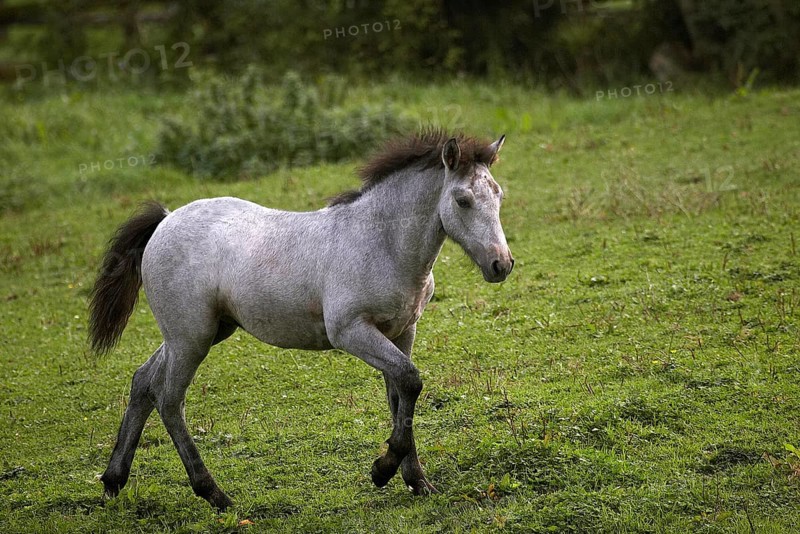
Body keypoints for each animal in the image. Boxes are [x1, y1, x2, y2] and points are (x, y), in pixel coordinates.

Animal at [89, 129, 514, 510]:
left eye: (498, 195)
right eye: (462, 200)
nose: (502, 264)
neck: (381, 243)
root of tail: (165, 219)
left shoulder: (402, 331)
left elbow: (400, 394)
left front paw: (416, 481)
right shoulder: (350, 331)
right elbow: (410, 380)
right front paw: (382, 470)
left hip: (201, 332)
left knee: (143, 382)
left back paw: (113, 480)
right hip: (190, 337)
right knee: (169, 399)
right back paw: (214, 494)